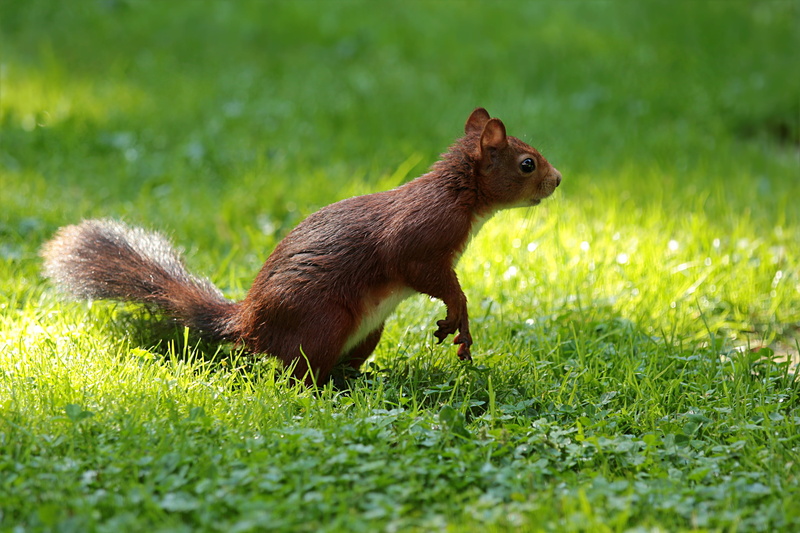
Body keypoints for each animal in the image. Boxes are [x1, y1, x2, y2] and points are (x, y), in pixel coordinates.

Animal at [41, 108, 561, 385]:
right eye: (528, 164)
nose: (557, 180)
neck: (459, 195)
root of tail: (248, 324)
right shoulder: (420, 238)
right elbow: (432, 277)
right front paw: (459, 315)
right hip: (324, 321)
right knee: (297, 375)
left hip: (367, 331)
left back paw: (362, 380)